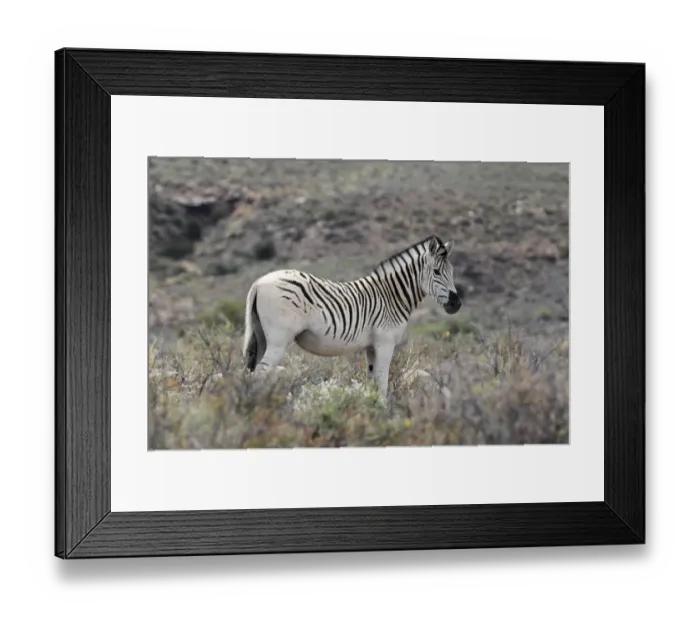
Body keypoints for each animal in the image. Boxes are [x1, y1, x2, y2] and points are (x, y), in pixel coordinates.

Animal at [241, 235, 462, 398]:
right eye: (436, 272)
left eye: (452, 271)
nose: (456, 304)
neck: (392, 296)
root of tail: (259, 282)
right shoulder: (385, 343)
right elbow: (382, 384)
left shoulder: (372, 347)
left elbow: (372, 383)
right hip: (279, 339)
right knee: (260, 373)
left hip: (261, 337)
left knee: (250, 372)